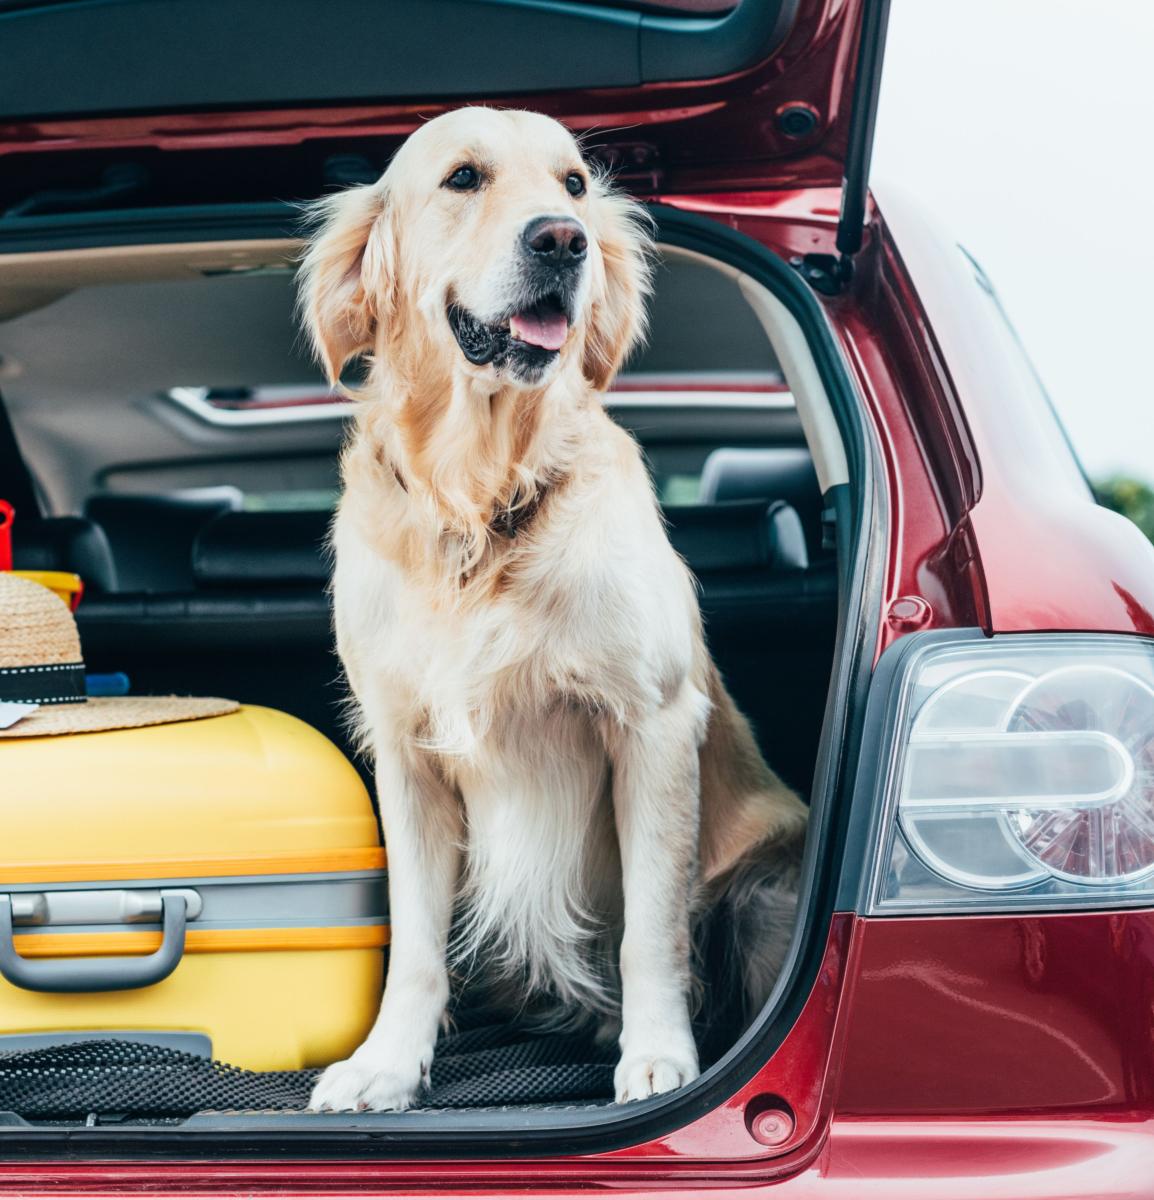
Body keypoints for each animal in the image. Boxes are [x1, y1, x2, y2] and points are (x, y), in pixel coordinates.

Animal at [298, 108, 801, 1108]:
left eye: (573, 183)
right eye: (463, 177)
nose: (563, 241)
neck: (480, 501)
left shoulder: (650, 724)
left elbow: (652, 928)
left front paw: (659, 1056)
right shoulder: (405, 751)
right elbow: (415, 942)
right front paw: (386, 1064)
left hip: (767, 885)